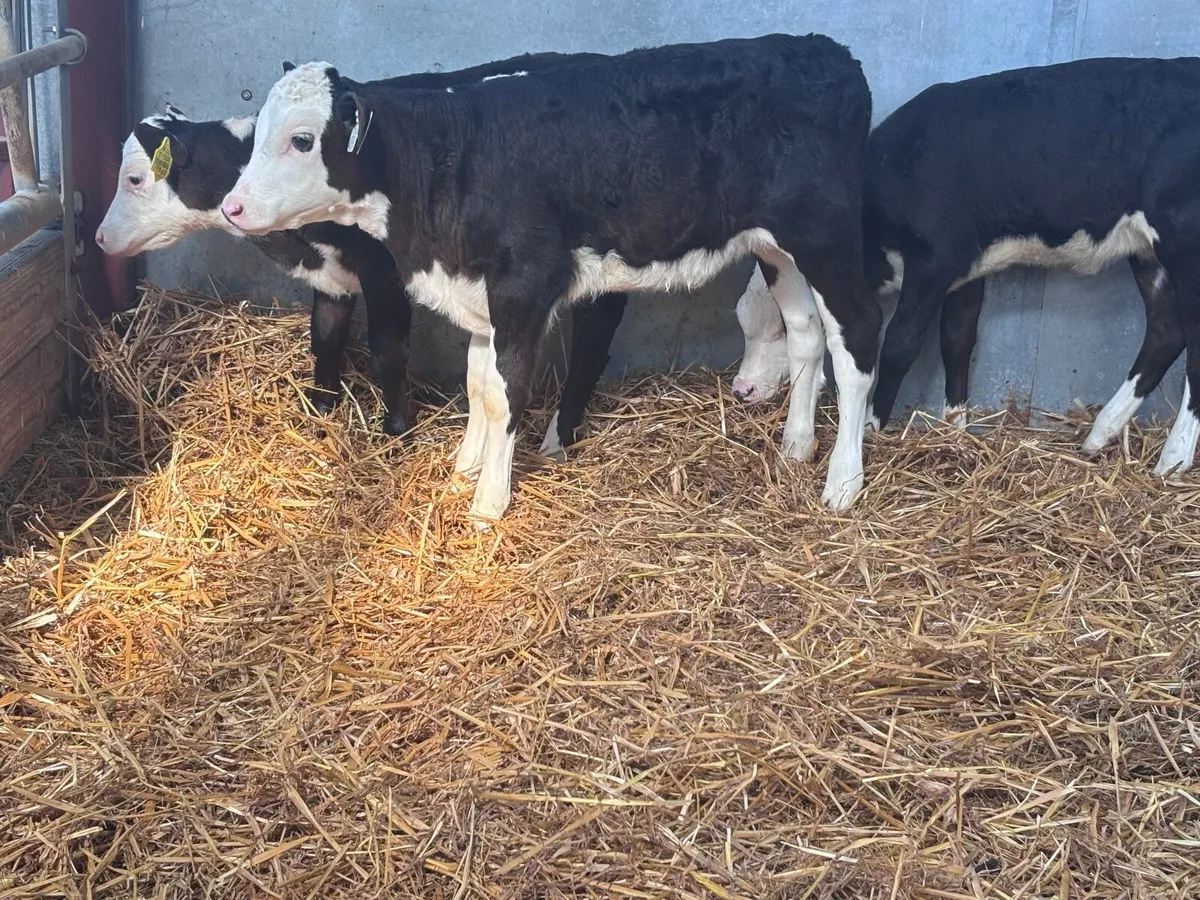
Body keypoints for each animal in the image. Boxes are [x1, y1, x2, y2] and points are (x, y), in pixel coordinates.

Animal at [94, 53, 631, 453]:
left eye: (135, 178)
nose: (99, 239)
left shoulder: (385, 272)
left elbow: (387, 354)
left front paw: (395, 433)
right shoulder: (333, 277)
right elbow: (326, 338)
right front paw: (320, 408)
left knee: (593, 338)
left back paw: (558, 439)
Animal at [217, 35, 880, 523]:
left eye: (303, 139)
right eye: (258, 130)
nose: (233, 206)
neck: (448, 158)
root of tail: (829, 51)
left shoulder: (524, 289)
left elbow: (508, 390)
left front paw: (488, 501)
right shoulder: (479, 295)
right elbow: (478, 386)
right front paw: (463, 472)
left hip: (826, 235)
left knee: (857, 339)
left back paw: (843, 480)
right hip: (776, 247)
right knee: (805, 330)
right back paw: (797, 445)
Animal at [861, 57, 1200, 478]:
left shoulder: (934, 257)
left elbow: (899, 342)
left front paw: (870, 428)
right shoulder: (964, 269)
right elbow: (957, 340)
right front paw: (954, 432)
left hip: (1184, 240)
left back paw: (1172, 461)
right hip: (1148, 252)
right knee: (1166, 329)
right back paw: (1099, 435)